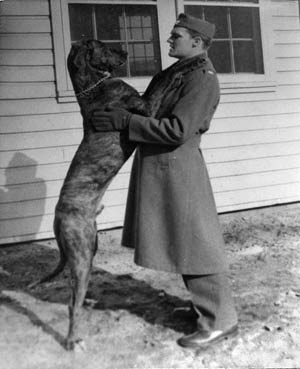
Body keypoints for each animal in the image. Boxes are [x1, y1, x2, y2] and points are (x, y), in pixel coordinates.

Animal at [30, 38, 150, 350]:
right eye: (102, 45)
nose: (126, 50)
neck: (91, 89)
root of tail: (57, 220)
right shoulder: (142, 104)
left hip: (88, 248)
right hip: (82, 257)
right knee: (73, 304)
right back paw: (73, 340)